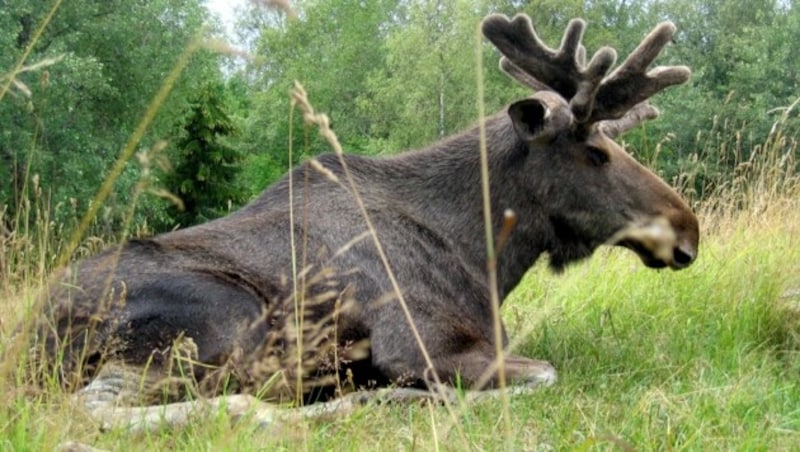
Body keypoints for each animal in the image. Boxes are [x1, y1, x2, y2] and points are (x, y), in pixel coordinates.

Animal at [31, 10, 696, 428]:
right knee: (102, 408)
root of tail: (31, 332)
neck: (484, 254)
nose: (687, 229)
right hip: (222, 319)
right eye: (595, 152)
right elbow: (546, 375)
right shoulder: (422, 347)